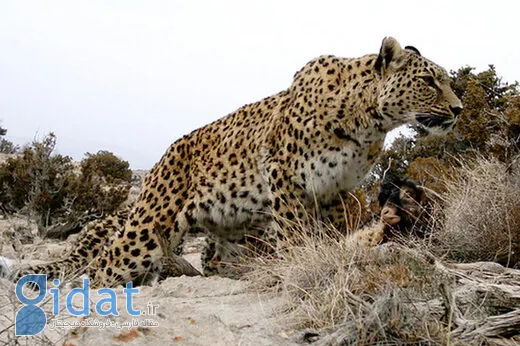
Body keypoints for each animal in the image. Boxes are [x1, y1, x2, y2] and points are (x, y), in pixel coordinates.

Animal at [6, 36, 462, 288]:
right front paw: (299, 264)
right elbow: (295, 231)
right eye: (428, 81)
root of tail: (163, 156)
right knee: (102, 265)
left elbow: (334, 232)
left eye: (446, 81)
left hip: (229, 232)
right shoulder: (284, 173)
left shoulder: (338, 189)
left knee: (207, 260)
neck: (367, 120)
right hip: (149, 226)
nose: (458, 109)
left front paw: (331, 258)